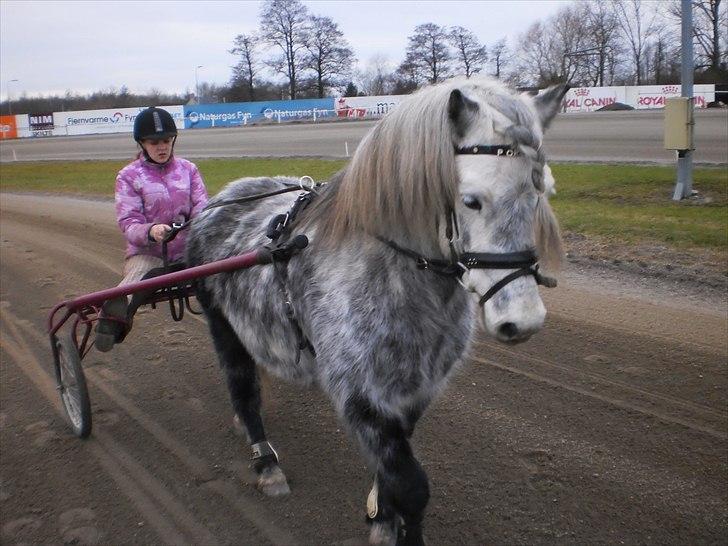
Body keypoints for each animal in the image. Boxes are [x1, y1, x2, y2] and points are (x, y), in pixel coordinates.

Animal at [185, 75, 564, 544]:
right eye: (472, 200)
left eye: (539, 193)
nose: (523, 320)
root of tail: (219, 200)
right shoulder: (359, 394)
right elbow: (412, 486)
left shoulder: (414, 390)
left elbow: (391, 474)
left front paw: (382, 516)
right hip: (224, 327)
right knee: (243, 388)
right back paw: (266, 461)